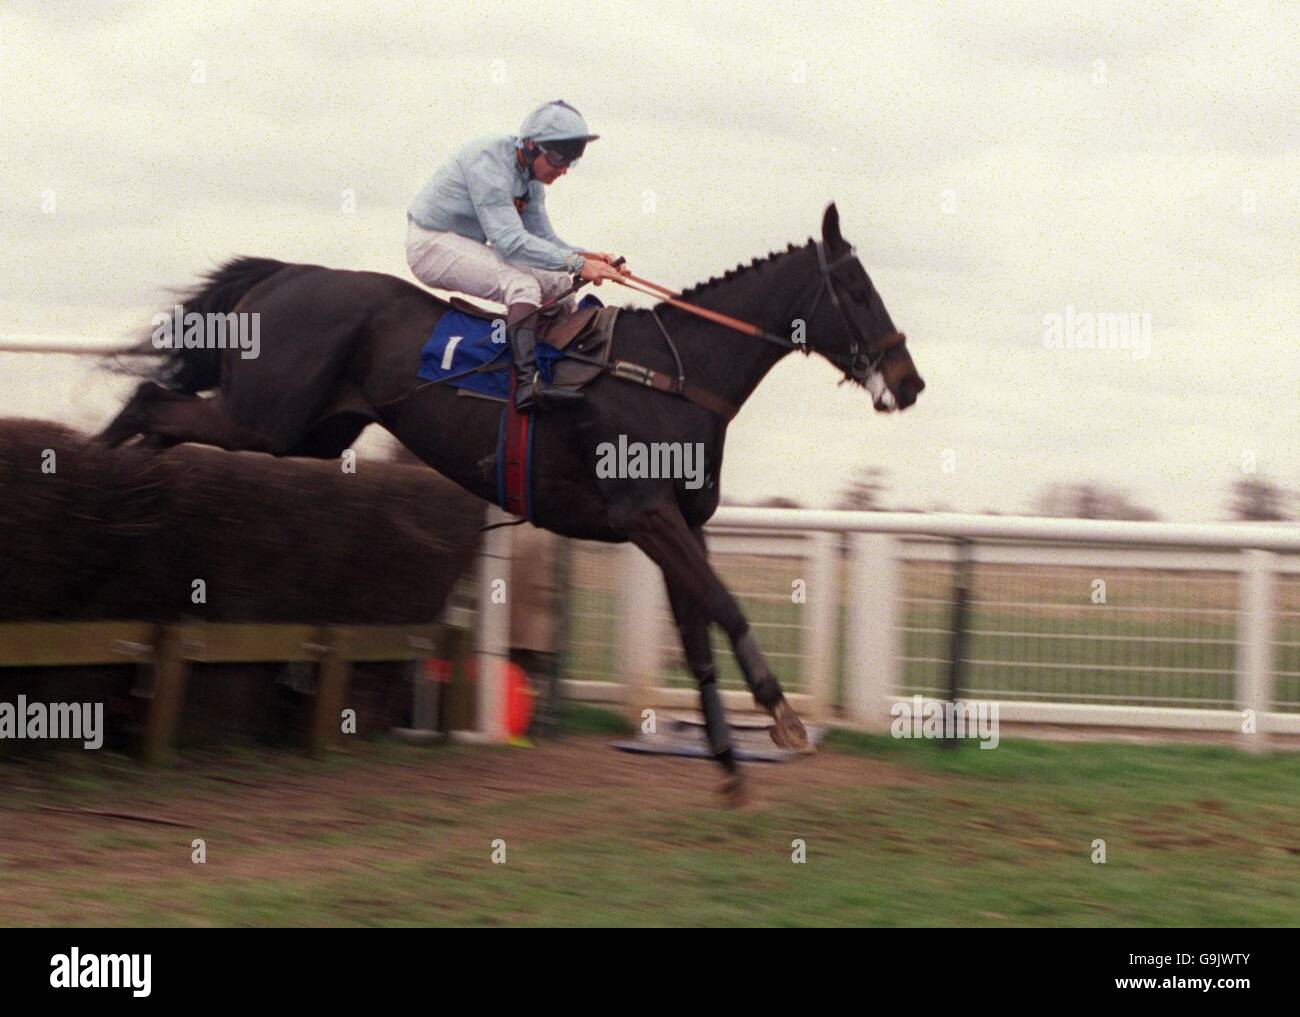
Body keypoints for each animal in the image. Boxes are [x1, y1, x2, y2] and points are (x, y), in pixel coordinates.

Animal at [106, 205, 930, 806]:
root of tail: (287, 275)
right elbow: (729, 608)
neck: (671, 374)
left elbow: (699, 638)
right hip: (268, 419)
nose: (909, 381)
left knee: (161, 416)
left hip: (309, 433)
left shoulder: (680, 526)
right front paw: (784, 719)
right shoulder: (646, 516)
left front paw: (729, 766)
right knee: (150, 399)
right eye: (858, 292)